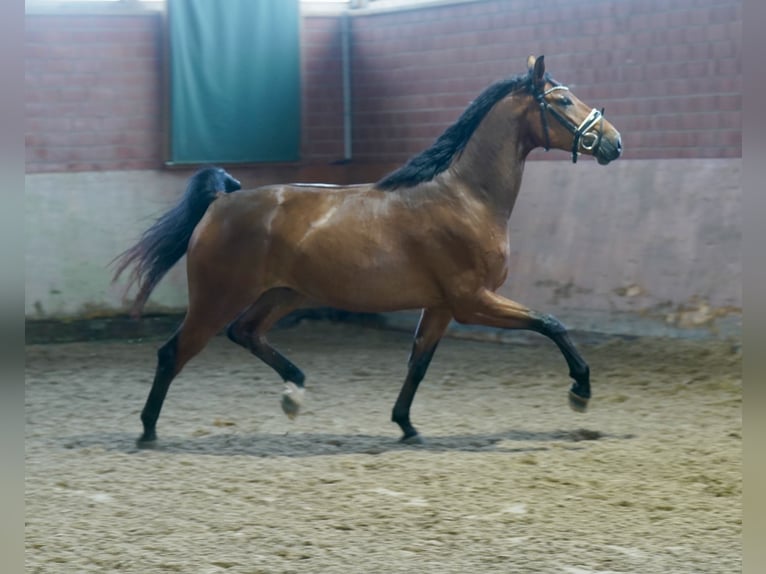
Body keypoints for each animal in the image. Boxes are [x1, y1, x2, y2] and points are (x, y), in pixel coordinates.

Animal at [112, 55, 622, 447]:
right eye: (561, 101)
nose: (614, 142)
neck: (466, 197)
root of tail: (222, 200)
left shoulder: (441, 306)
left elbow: (418, 363)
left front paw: (406, 425)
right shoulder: (472, 300)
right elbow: (550, 323)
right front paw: (580, 389)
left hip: (285, 294)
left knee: (245, 333)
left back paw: (295, 390)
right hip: (218, 298)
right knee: (174, 352)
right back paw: (148, 430)